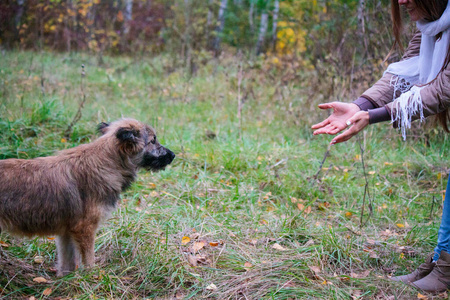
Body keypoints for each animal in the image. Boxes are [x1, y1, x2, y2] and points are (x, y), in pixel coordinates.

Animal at [0, 118, 175, 276]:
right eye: (153, 140)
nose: (173, 155)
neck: (107, 163)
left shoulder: (66, 233)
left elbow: (67, 264)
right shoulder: (85, 229)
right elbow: (89, 261)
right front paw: (94, 279)